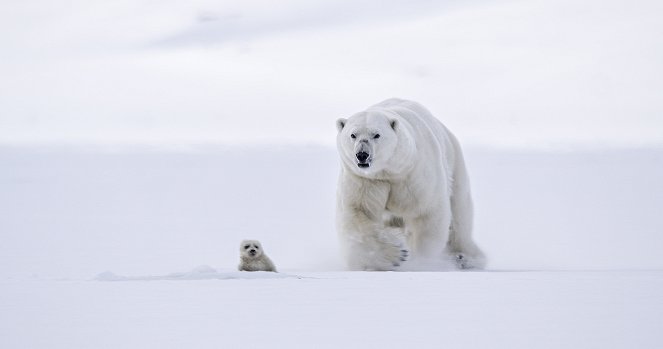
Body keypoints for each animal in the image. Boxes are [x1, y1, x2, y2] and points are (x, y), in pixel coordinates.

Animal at [338, 96, 482, 270]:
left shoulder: (413, 175)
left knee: (460, 214)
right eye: (353, 135)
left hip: (455, 163)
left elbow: (427, 213)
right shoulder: (366, 179)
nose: (362, 155)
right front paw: (395, 254)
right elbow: (359, 212)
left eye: (376, 135)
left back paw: (465, 258)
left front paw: (418, 261)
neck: (390, 170)